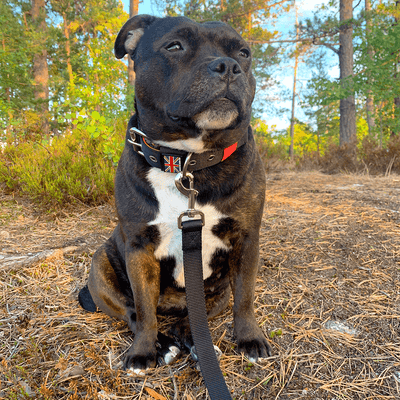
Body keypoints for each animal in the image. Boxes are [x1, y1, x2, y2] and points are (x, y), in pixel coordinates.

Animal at [78, 14, 270, 374]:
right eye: (174, 46)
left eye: (243, 53)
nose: (228, 66)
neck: (187, 161)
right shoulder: (139, 248)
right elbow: (142, 309)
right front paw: (142, 351)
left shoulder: (247, 240)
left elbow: (246, 298)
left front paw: (250, 338)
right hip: (101, 266)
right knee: (134, 312)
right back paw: (162, 344)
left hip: (215, 293)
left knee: (192, 320)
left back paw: (196, 344)